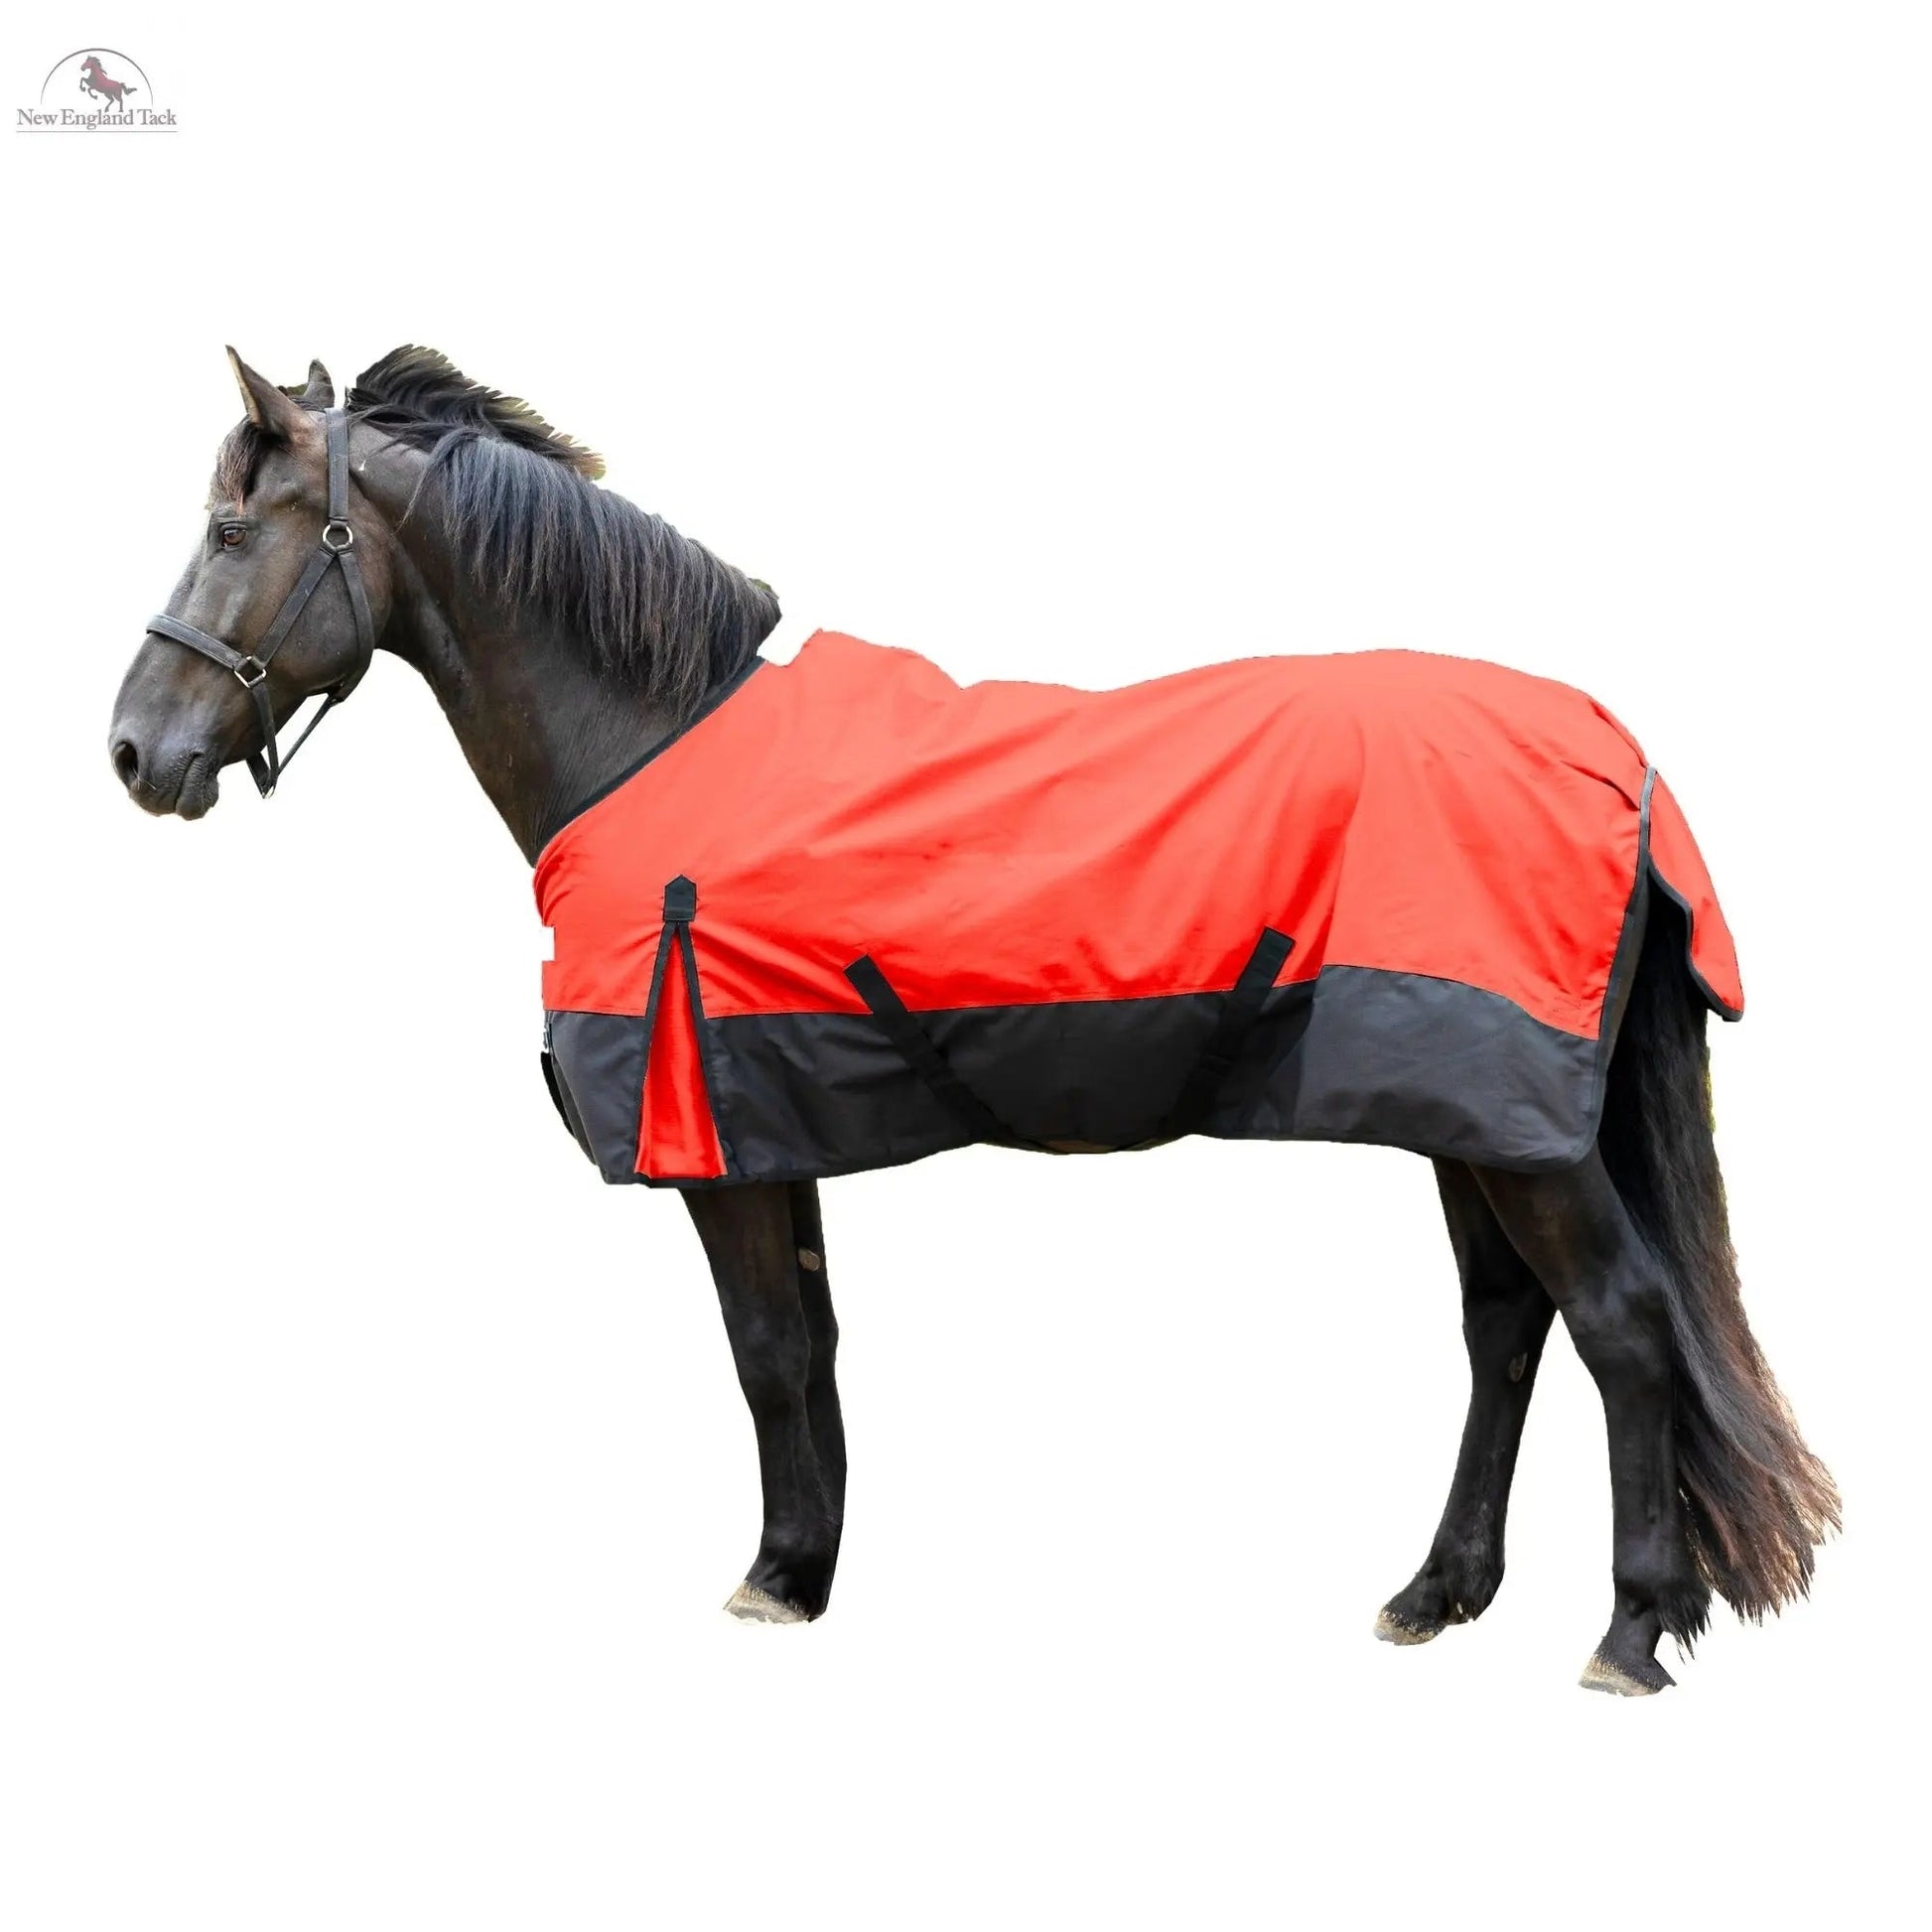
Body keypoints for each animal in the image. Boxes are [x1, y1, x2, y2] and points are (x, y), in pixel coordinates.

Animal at [107, 346, 1838, 1694]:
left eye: (229, 526)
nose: (132, 750)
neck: (652, 739)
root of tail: (1613, 752)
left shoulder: (716, 1141)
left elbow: (763, 1350)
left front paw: (770, 1578)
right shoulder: (767, 1125)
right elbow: (805, 1346)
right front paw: (804, 1565)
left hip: (1520, 1131)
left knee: (1621, 1326)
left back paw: (1627, 1630)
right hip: (1466, 1117)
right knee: (1504, 1328)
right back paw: (1437, 1593)